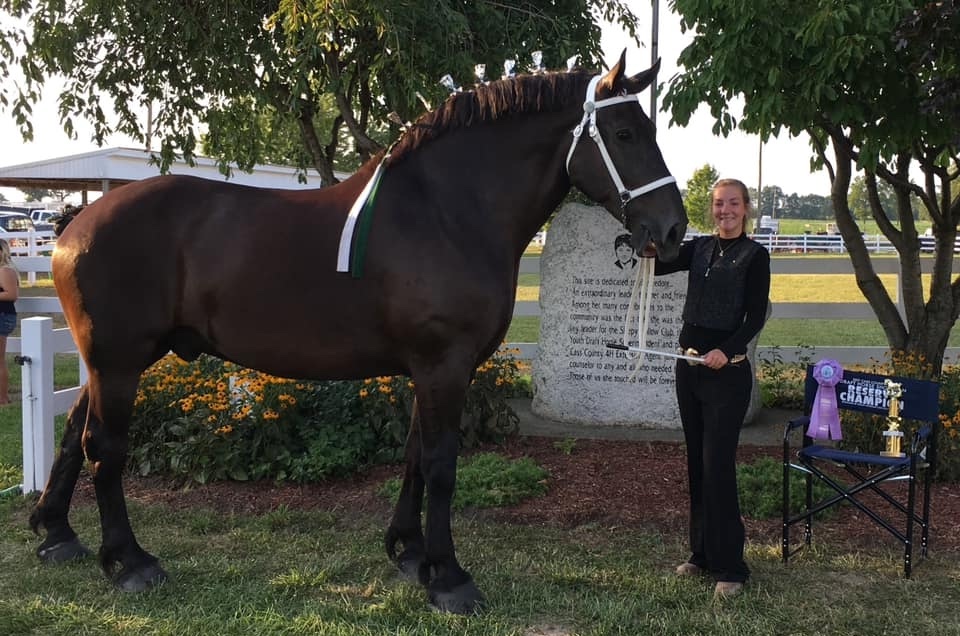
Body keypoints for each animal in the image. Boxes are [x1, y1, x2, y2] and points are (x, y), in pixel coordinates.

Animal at [29, 50, 687, 614]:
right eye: (625, 135)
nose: (674, 230)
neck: (446, 213)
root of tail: (75, 223)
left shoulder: (431, 369)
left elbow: (416, 455)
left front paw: (410, 553)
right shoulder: (444, 366)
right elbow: (442, 465)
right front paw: (449, 578)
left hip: (108, 363)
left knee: (73, 435)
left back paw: (57, 534)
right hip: (119, 361)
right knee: (103, 447)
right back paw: (130, 562)